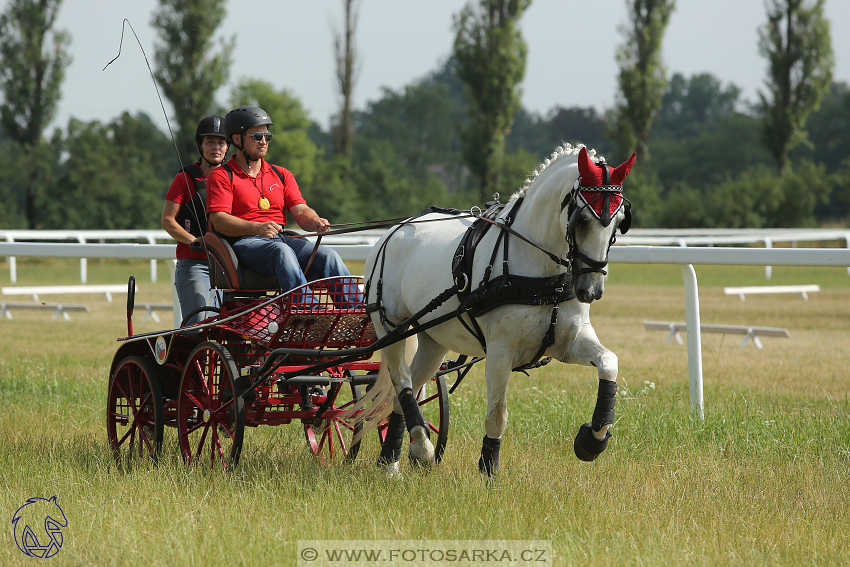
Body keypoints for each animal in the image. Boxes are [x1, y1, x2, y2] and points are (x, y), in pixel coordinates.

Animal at [350, 143, 628, 474]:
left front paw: (593, 439)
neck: (539, 267)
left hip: (433, 340)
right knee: (402, 383)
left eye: (619, 222)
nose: (592, 290)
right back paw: (420, 449)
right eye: (582, 220)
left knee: (401, 395)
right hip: (390, 328)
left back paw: (392, 461)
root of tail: (391, 233)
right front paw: (489, 471)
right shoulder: (500, 351)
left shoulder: (569, 342)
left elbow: (609, 363)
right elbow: (497, 415)